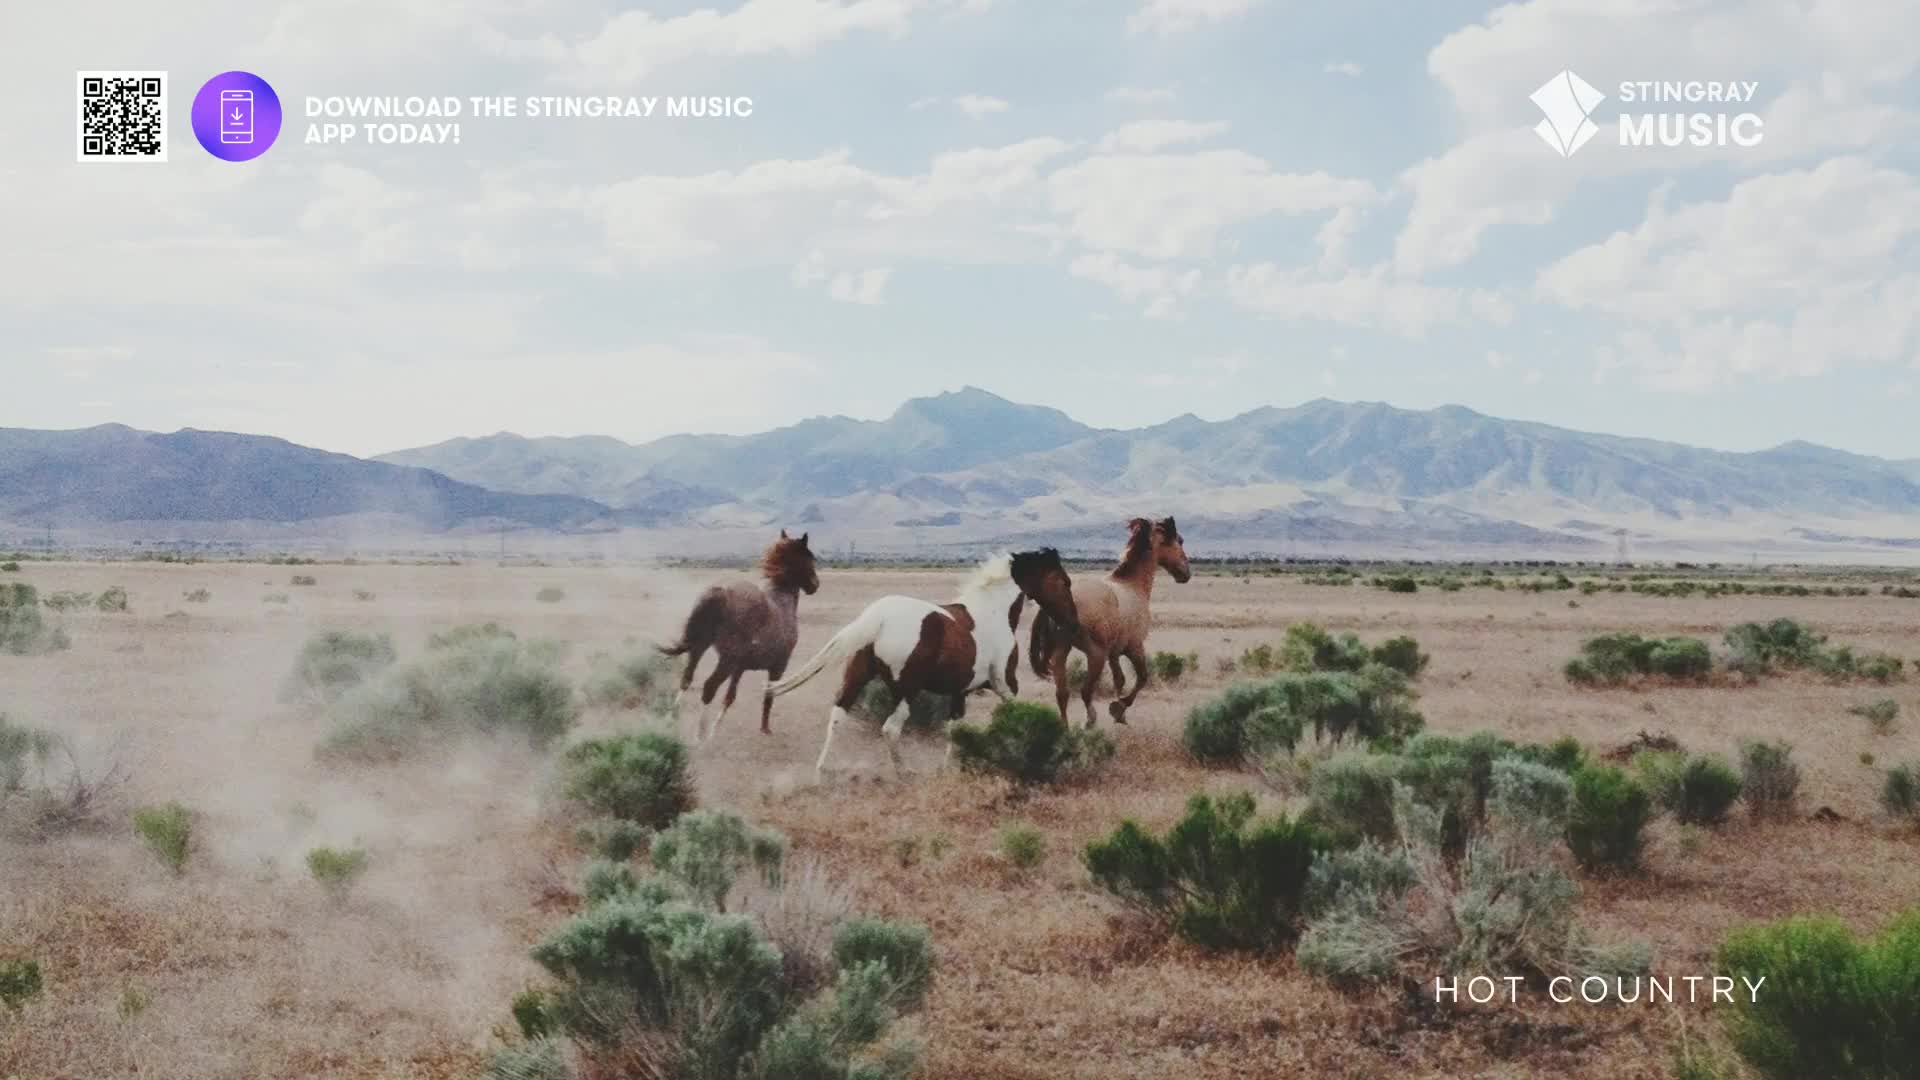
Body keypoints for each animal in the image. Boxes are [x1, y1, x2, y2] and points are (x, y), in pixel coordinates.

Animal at [658, 529, 819, 742]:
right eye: (809, 558)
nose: (815, 585)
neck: (781, 604)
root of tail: (718, 592)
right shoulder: (778, 667)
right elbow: (768, 697)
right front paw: (764, 729)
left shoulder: (739, 668)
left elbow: (729, 697)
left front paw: (716, 729)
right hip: (725, 660)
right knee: (709, 687)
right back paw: (700, 735)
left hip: (699, 647)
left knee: (687, 678)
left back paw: (671, 718)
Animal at [765, 548, 1078, 777]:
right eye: (1064, 581)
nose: (1072, 621)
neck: (993, 611)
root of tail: (878, 617)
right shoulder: (1003, 682)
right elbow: (1015, 711)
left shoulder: (959, 692)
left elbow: (955, 729)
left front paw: (948, 768)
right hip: (907, 689)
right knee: (890, 729)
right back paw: (904, 772)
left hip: (857, 676)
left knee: (838, 716)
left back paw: (823, 770)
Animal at [1029, 516, 1190, 728]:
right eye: (1179, 540)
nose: (1185, 574)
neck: (1132, 586)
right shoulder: (1134, 647)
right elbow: (1142, 678)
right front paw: (1118, 708)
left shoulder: (1114, 653)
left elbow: (1119, 679)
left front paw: (1120, 713)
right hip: (1096, 654)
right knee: (1085, 691)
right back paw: (1090, 720)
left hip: (1061, 652)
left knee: (1062, 694)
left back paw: (1065, 729)